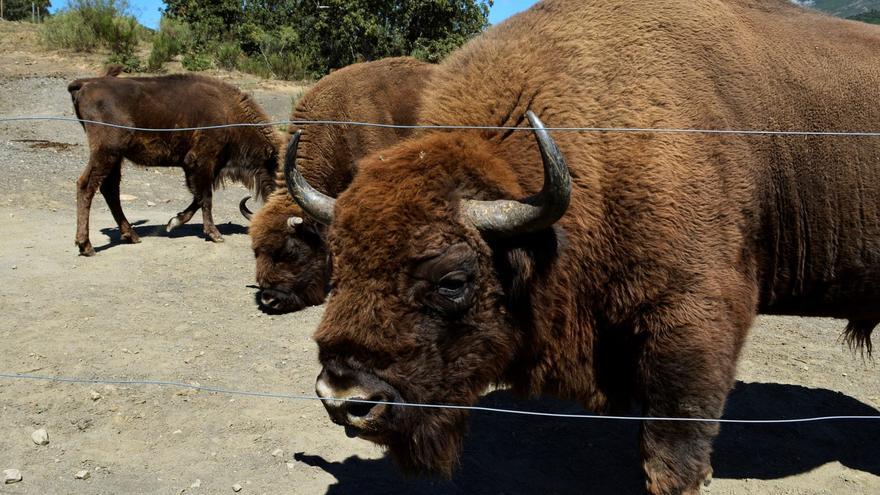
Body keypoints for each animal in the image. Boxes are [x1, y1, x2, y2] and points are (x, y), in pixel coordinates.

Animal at [68, 66, 278, 258]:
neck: (228, 113)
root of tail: (86, 84)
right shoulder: (202, 163)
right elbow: (206, 198)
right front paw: (215, 234)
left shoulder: (204, 169)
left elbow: (199, 199)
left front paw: (173, 222)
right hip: (105, 152)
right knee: (86, 186)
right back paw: (86, 246)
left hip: (115, 157)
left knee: (109, 189)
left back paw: (131, 236)